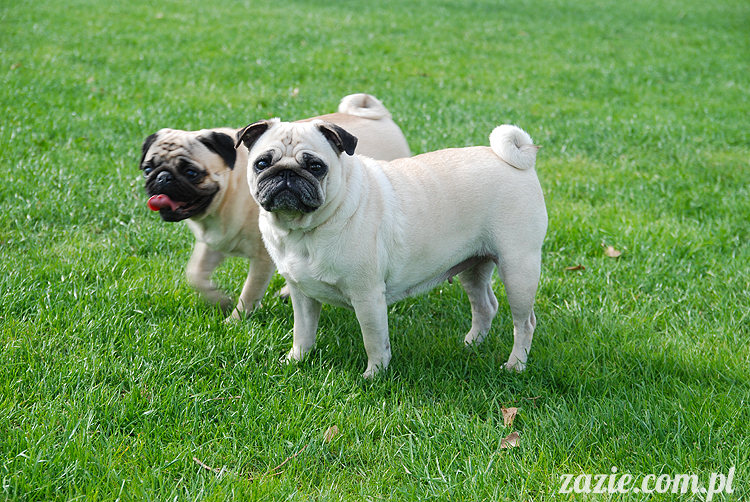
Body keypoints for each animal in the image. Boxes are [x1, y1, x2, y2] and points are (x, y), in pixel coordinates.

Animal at [139, 94, 411, 319]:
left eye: (191, 173)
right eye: (148, 169)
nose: (162, 178)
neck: (228, 195)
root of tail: (376, 114)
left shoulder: (262, 259)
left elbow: (249, 293)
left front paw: (235, 321)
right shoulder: (214, 242)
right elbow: (195, 274)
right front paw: (218, 300)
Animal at [236, 118, 547, 377]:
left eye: (315, 167)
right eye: (261, 164)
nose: (286, 174)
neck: (301, 231)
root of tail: (516, 159)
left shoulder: (367, 297)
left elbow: (374, 340)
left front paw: (374, 375)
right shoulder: (302, 294)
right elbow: (302, 332)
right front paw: (295, 361)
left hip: (519, 270)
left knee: (525, 323)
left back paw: (515, 365)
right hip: (474, 266)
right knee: (485, 307)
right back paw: (471, 344)